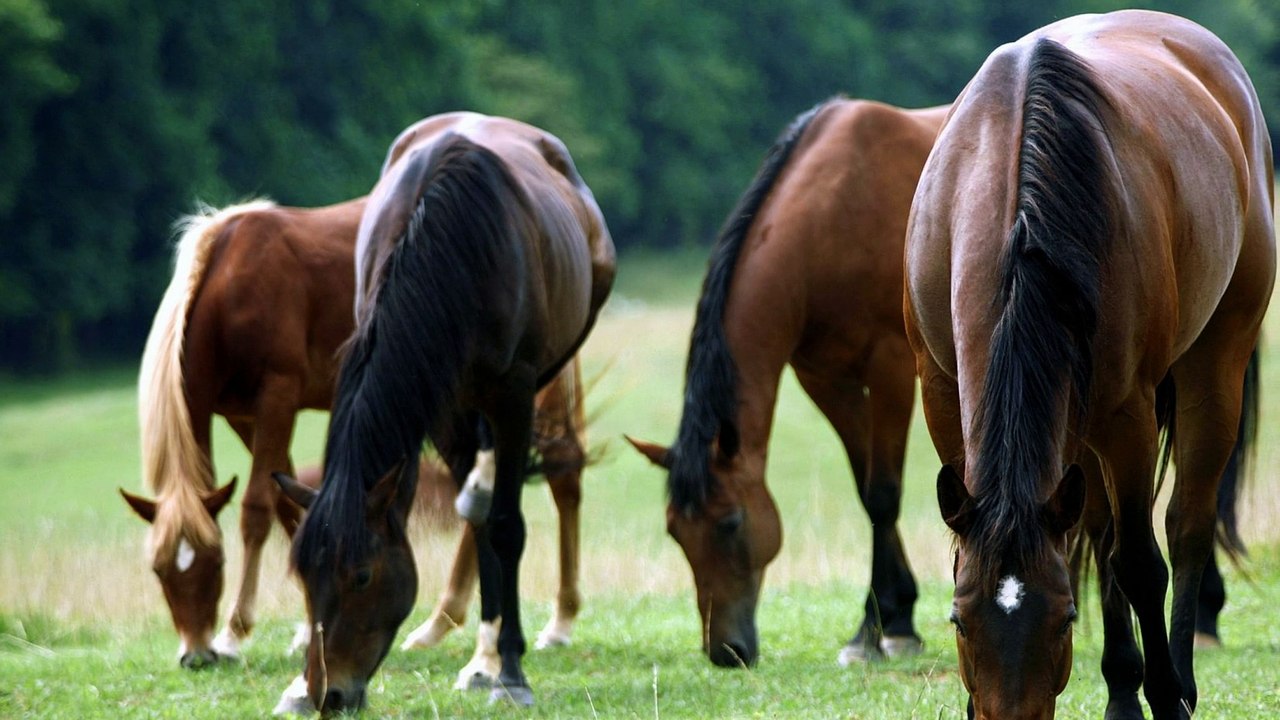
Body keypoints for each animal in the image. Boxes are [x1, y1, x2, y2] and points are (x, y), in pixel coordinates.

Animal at [272, 112, 615, 714]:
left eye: (362, 577)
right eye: (303, 577)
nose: (328, 693)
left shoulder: (513, 393)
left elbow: (505, 526)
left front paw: (512, 673)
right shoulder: (440, 402)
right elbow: (480, 526)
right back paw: (481, 653)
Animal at [628, 98, 950, 667]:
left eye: (731, 523)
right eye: (674, 532)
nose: (725, 651)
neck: (832, 219)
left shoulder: (890, 369)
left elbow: (884, 494)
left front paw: (875, 632)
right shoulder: (828, 381)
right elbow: (866, 491)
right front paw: (894, 618)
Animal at [904, 11, 1273, 719]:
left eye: (1064, 619)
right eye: (960, 621)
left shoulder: (1128, 414)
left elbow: (1140, 564)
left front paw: (1166, 697)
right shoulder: (941, 393)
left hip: (1213, 365)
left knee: (1186, 525)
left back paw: (1179, 680)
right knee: (1100, 533)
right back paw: (1122, 691)